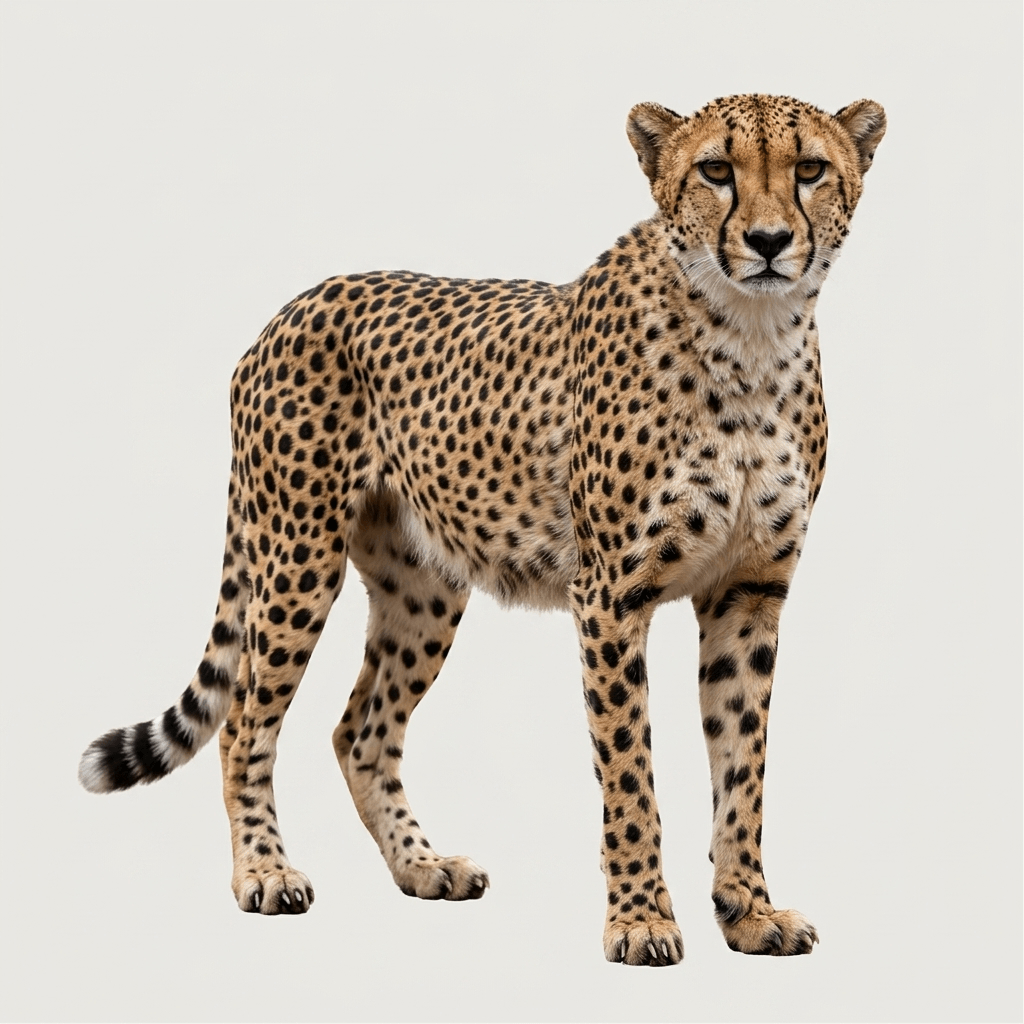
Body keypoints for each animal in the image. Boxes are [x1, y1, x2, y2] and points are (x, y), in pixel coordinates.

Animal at [79, 93, 885, 966]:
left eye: (810, 169)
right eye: (715, 170)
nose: (769, 242)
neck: (752, 334)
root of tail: (295, 304)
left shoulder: (749, 592)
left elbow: (743, 768)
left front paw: (748, 910)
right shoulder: (610, 597)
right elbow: (630, 770)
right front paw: (639, 919)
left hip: (424, 587)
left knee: (360, 731)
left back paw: (422, 866)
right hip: (297, 556)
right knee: (245, 723)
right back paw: (264, 871)